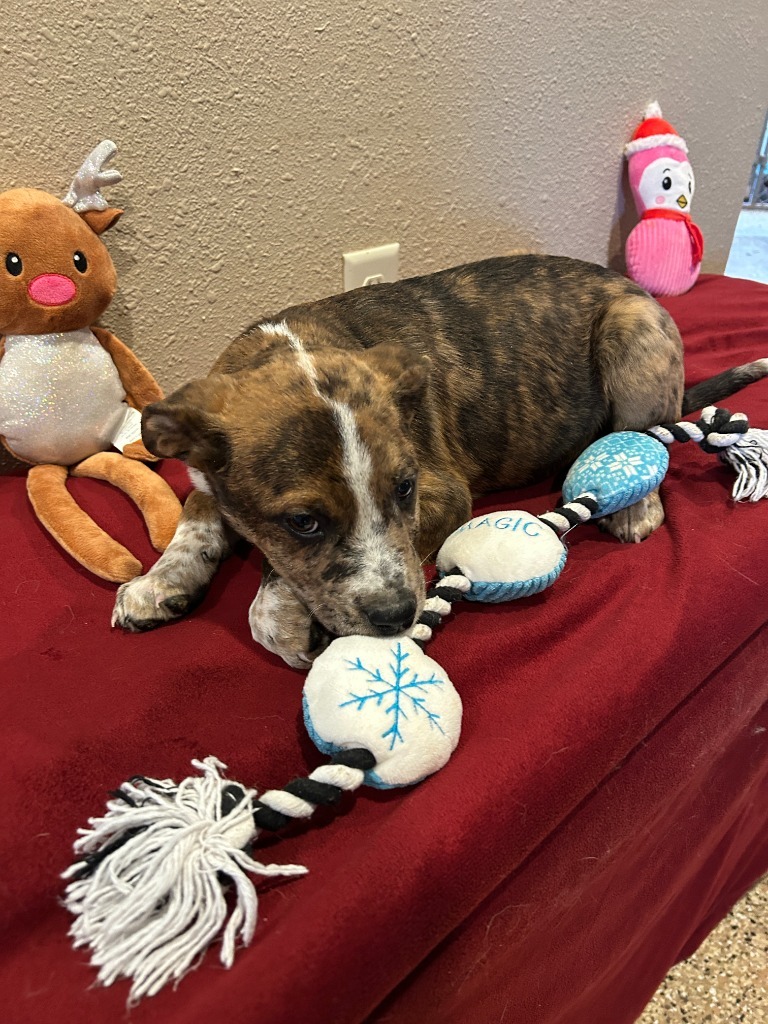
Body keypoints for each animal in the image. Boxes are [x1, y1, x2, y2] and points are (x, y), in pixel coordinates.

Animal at [112, 256, 768, 663]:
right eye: (303, 522)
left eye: (404, 488)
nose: (399, 615)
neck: (288, 346)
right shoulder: (203, 465)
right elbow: (195, 519)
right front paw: (160, 581)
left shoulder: (444, 491)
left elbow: (268, 604)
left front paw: (284, 612)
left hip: (635, 334)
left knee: (647, 434)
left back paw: (635, 505)